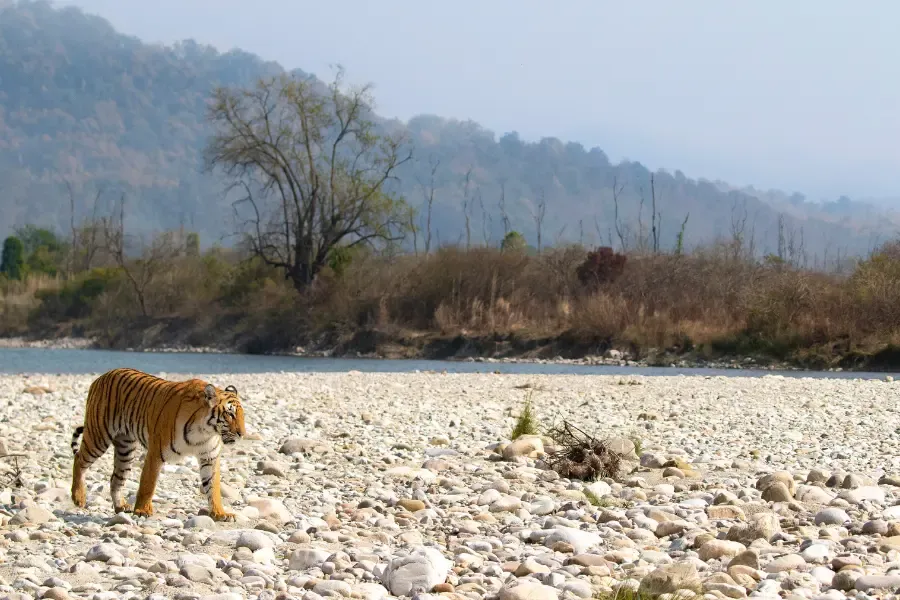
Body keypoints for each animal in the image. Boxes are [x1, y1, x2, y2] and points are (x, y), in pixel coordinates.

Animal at [70, 367, 246, 521]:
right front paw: (142, 510)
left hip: (125, 450)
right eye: (230, 414)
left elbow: (213, 488)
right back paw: (78, 497)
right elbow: (148, 484)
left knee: (116, 478)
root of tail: (100, 377)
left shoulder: (209, 457)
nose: (242, 434)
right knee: (79, 459)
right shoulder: (155, 453)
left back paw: (121, 506)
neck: (204, 431)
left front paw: (220, 513)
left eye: (242, 415)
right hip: (98, 436)